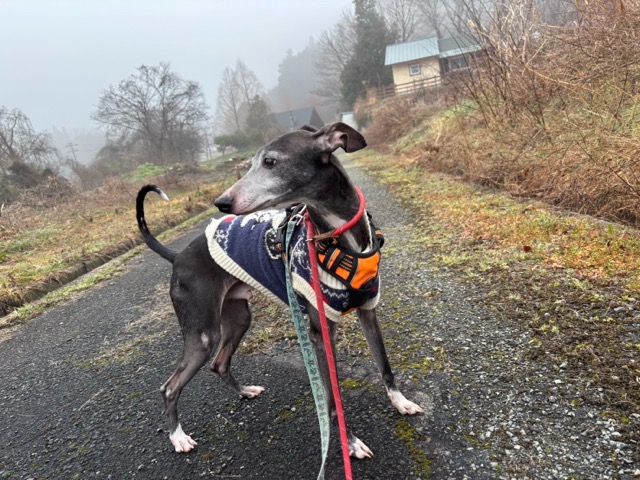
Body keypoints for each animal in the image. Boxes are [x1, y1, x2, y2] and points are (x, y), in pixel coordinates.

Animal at [136, 122, 422, 459]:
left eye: (270, 162)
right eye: (250, 164)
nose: (222, 202)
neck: (338, 237)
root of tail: (177, 256)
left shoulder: (368, 311)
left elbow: (385, 365)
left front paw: (400, 402)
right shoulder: (320, 332)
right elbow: (333, 399)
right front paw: (350, 443)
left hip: (238, 318)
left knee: (219, 364)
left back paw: (244, 391)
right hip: (202, 334)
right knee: (170, 387)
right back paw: (178, 437)